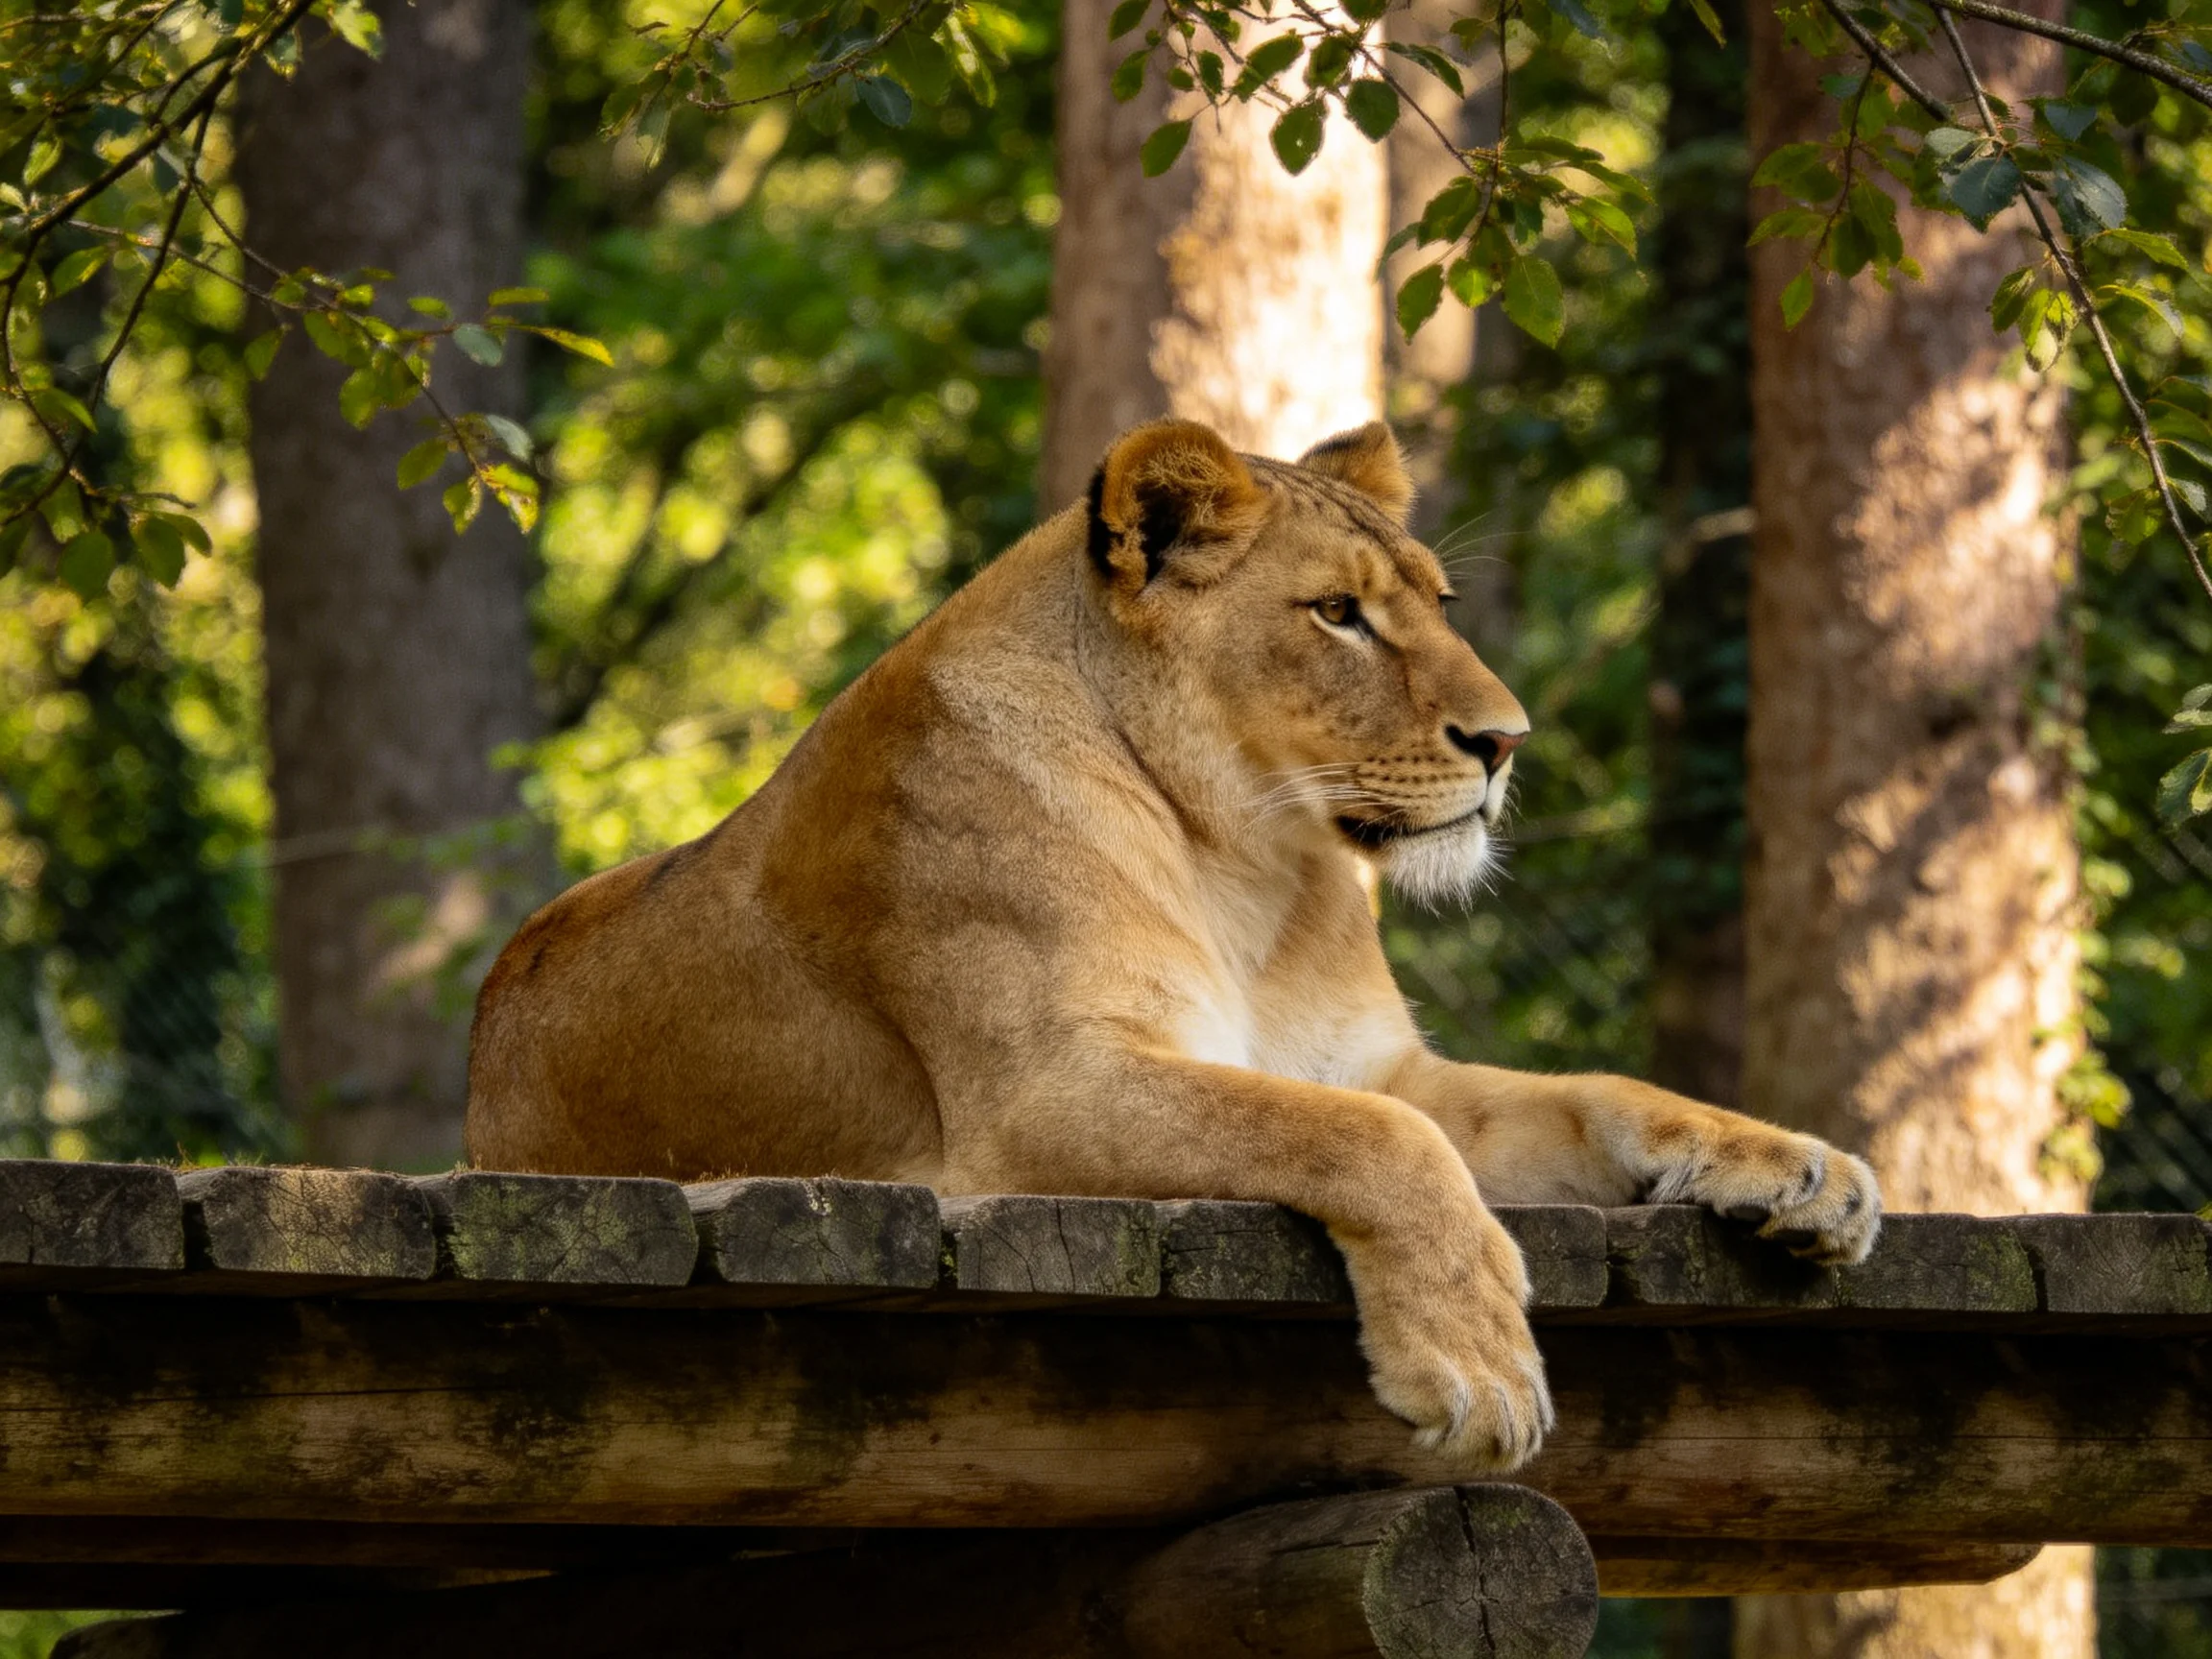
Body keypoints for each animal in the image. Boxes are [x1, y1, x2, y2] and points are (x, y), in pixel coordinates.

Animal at [467, 418, 1880, 1468]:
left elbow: (1593, 1096)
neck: (1249, 864)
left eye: (1434, 602)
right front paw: (1477, 1363)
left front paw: (1801, 1170)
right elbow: (1373, 1143)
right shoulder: (1041, 1100)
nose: (1507, 741)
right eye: (1337, 614)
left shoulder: (1381, 1065)